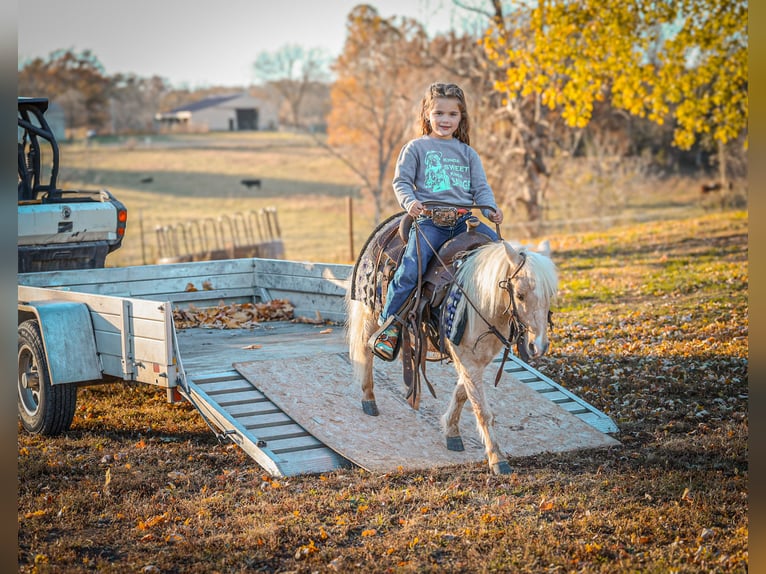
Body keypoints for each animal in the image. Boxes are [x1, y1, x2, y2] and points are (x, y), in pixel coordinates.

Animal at [347, 217, 559, 475]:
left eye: (550, 294)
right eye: (519, 295)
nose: (538, 346)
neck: (482, 300)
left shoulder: (479, 358)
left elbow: (462, 393)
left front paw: (451, 432)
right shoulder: (466, 357)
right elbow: (481, 408)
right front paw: (497, 459)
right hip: (369, 312)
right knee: (365, 353)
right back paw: (369, 398)